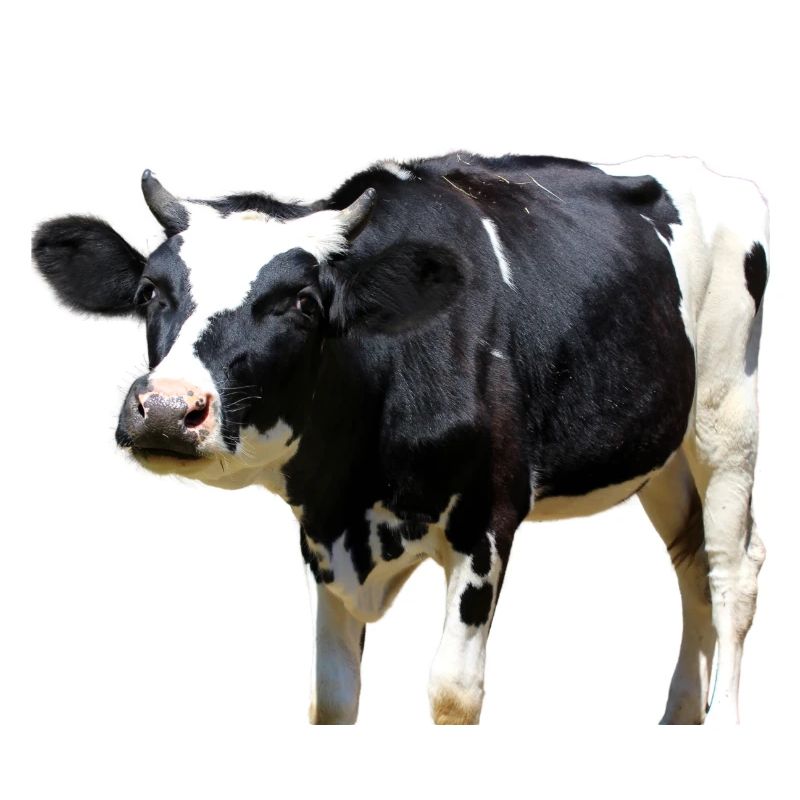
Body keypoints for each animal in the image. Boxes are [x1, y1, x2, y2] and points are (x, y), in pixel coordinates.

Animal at [31, 152, 768, 725]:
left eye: (303, 303)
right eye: (150, 291)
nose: (164, 408)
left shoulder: (488, 518)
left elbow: (452, 692)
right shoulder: (322, 533)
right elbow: (331, 695)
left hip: (726, 417)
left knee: (732, 570)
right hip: (662, 453)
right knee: (691, 564)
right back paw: (679, 715)